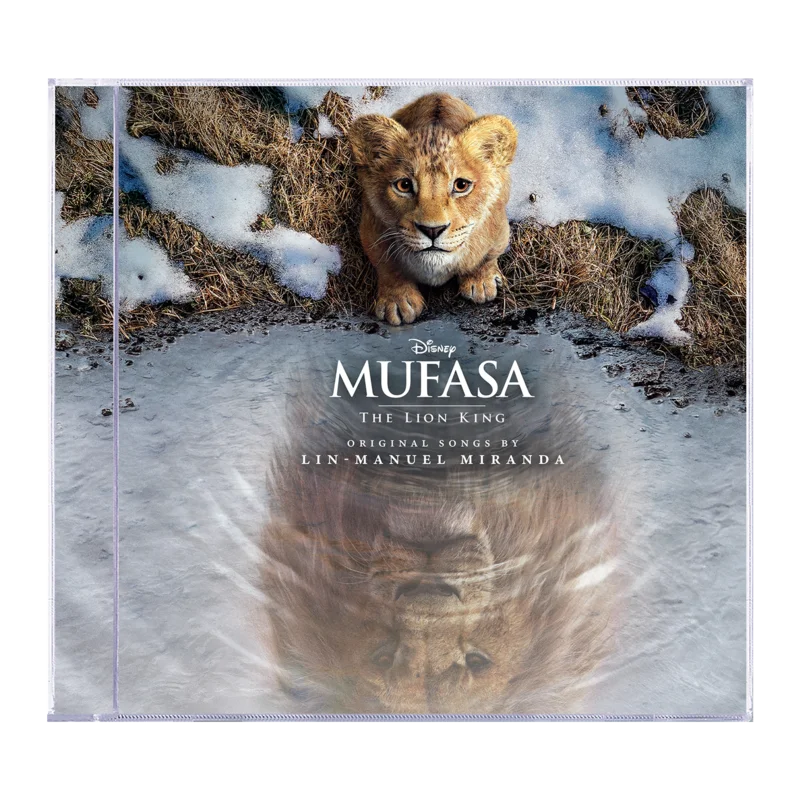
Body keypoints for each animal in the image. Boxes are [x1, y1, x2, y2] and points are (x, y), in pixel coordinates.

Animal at [348, 93, 518, 326]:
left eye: (461, 185)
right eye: (404, 185)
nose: (432, 230)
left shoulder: (499, 229)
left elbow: (486, 257)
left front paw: (481, 282)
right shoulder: (370, 230)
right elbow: (387, 266)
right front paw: (397, 301)